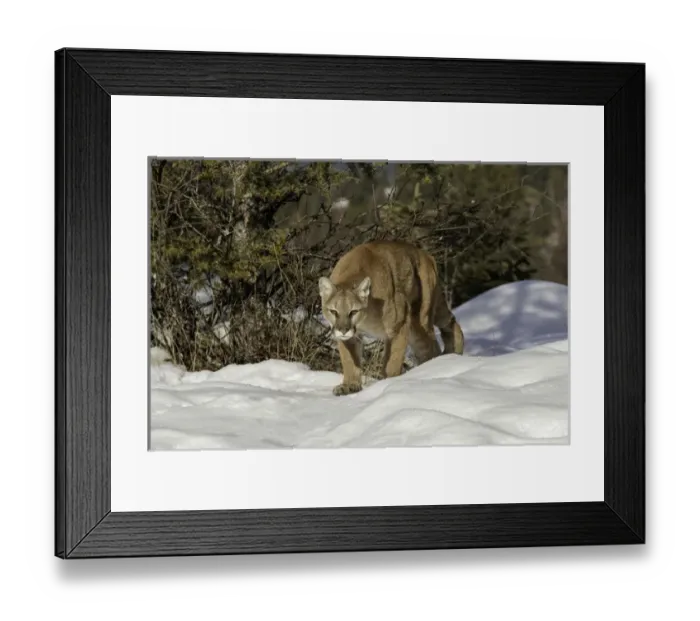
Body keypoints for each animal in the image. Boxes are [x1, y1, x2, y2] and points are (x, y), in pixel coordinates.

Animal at [318, 240, 465, 396]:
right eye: (333, 311)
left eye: (353, 311)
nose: (343, 330)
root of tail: (425, 255)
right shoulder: (350, 338)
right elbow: (349, 360)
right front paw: (349, 385)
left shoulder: (399, 325)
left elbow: (392, 360)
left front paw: (389, 383)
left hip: (420, 320)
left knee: (431, 347)